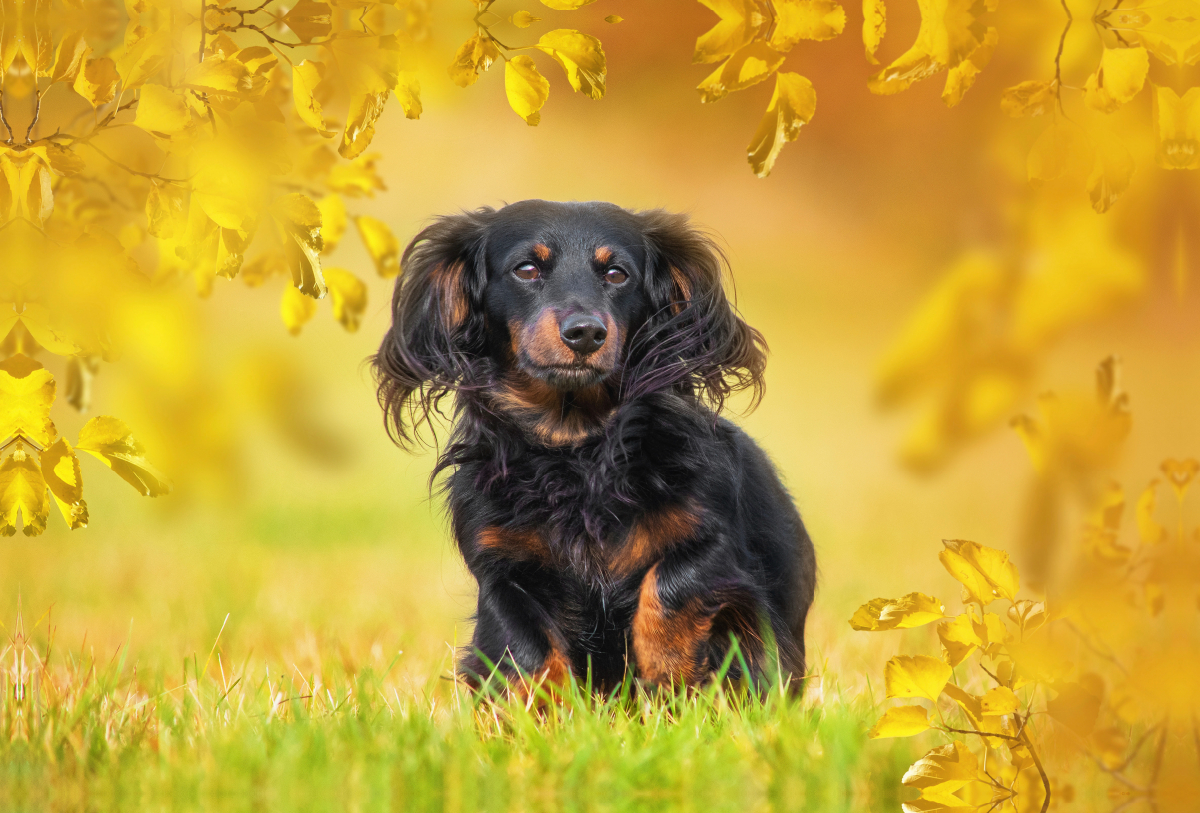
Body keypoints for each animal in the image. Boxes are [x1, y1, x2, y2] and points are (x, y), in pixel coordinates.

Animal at [374, 200, 816, 690]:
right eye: (526, 269)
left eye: (617, 274)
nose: (585, 333)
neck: (577, 449)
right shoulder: (502, 569)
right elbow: (529, 649)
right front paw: (545, 704)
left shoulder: (712, 539)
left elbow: (671, 582)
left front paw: (667, 667)